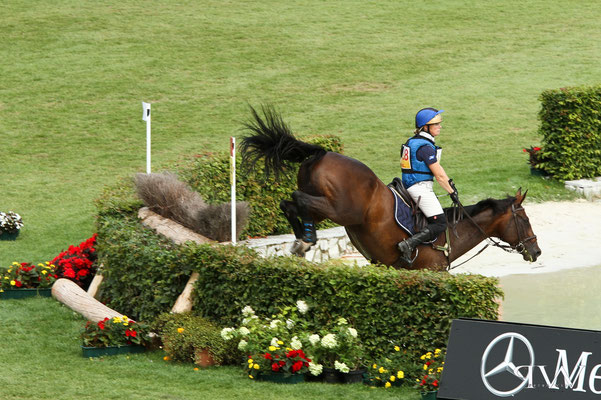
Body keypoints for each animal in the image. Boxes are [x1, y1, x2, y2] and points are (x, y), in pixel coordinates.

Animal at [241, 106, 540, 270]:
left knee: (291, 204)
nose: (536, 252)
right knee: (297, 198)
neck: (455, 233)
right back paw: (306, 240)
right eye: (525, 220)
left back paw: (302, 239)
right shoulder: (431, 272)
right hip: (342, 210)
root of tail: (323, 153)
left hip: (325, 209)